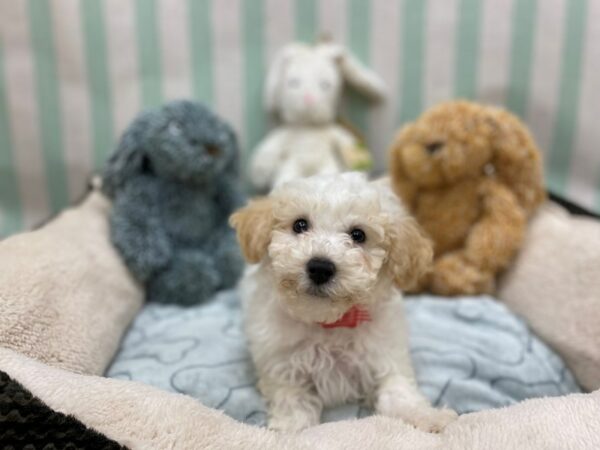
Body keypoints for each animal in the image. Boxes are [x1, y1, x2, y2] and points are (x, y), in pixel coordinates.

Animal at [232, 173, 458, 432]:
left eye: (358, 235)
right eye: (300, 225)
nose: (320, 267)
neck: (329, 323)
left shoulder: (385, 356)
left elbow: (399, 392)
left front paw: (427, 417)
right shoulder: (284, 370)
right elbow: (293, 403)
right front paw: (290, 429)